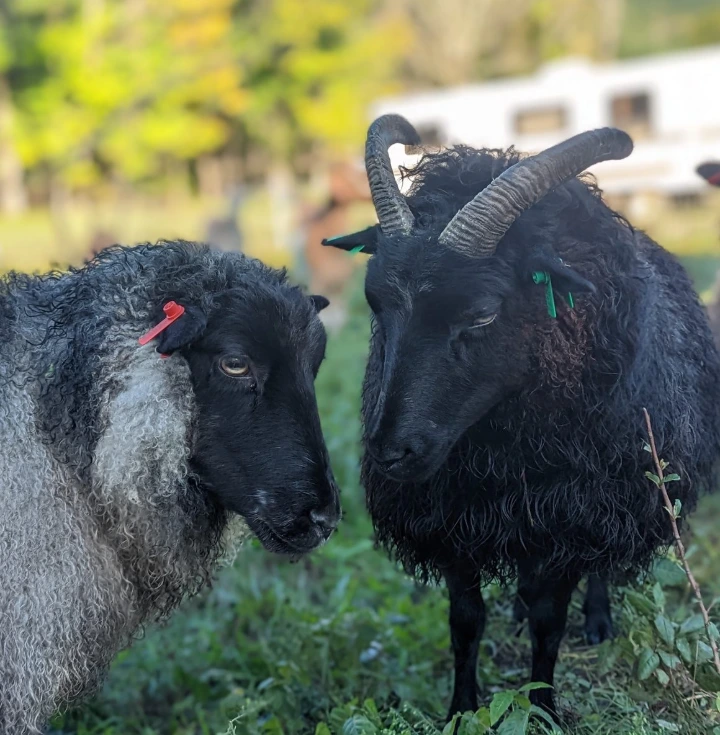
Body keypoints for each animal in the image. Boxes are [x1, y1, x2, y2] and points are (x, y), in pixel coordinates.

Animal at [324, 116, 720, 718]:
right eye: (376, 304)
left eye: (483, 315)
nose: (391, 452)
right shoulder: (451, 517)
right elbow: (465, 622)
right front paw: (461, 710)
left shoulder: (571, 513)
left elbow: (549, 622)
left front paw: (544, 710)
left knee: (594, 568)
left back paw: (597, 620)